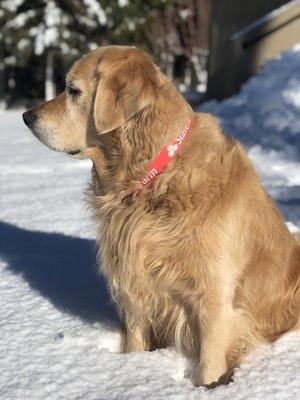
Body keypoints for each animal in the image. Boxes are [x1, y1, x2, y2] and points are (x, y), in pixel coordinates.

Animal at [22, 46, 298, 388]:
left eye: (73, 90)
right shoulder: (135, 286)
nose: (26, 116)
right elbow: (135, 341)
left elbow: (209, 364)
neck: (154, 178)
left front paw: (208, 388)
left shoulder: (215, 300)